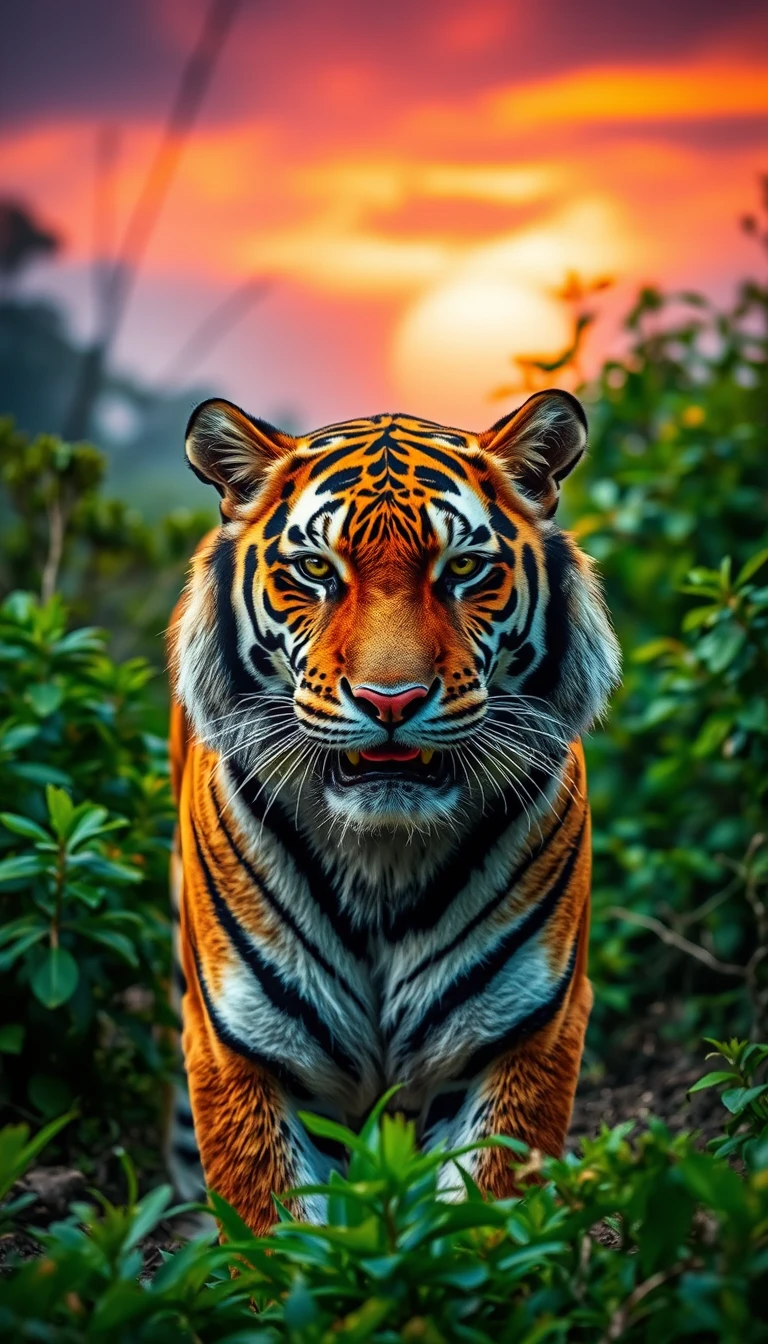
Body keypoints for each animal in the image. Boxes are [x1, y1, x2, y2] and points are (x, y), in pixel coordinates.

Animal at [166, 389, 620, 1232]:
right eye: (316, 570)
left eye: (463, 569)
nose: (390, 701)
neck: (382, 859)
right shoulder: (242, 1046)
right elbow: (275, 1233)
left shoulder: (526, 1031)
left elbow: (487, 1213)